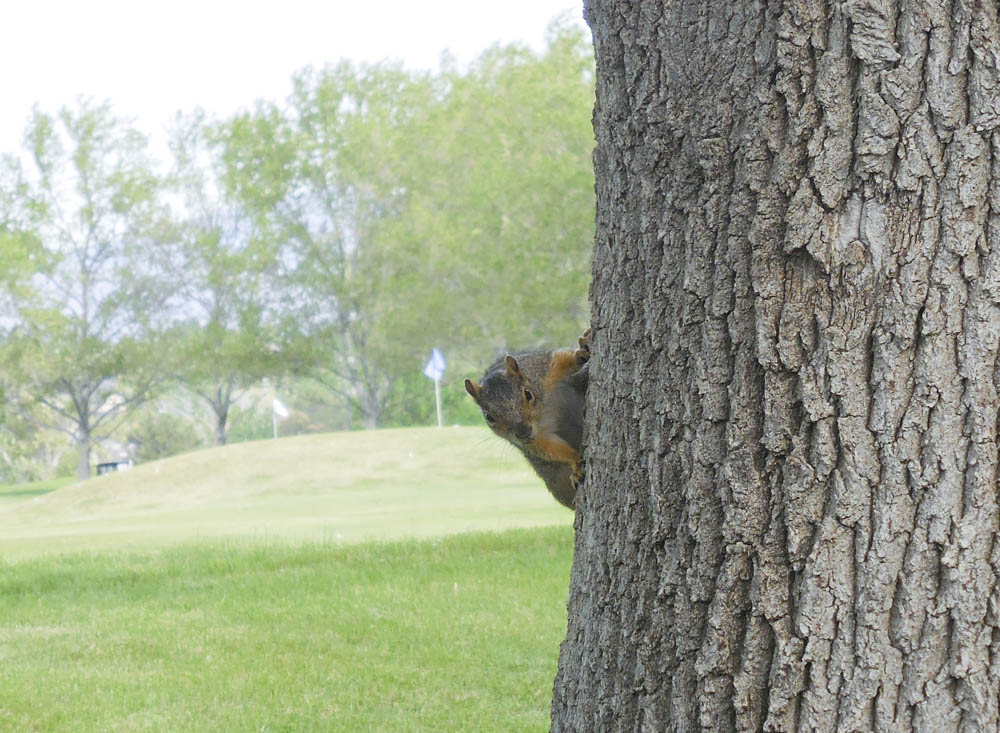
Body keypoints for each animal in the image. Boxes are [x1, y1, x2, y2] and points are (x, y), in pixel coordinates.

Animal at [465, 329, 590, 509]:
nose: (523, 432)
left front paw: (580, 353)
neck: (543, 412)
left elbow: (564, 358)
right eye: (489, 417)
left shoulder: (546, 370)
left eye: (528, 394)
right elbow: (549, 448)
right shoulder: (536, 440)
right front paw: (575, 461)